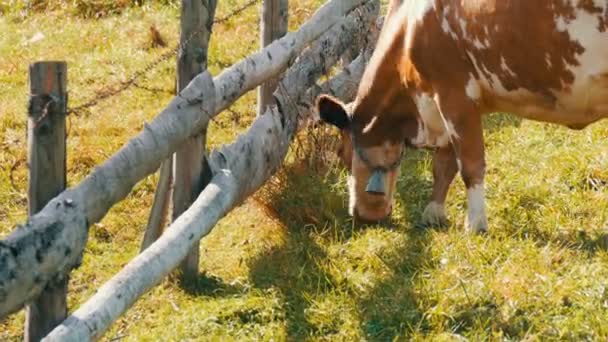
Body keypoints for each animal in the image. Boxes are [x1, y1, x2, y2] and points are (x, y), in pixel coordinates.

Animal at [318, 0, 608, 232]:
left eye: (341, 155)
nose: (358, 215)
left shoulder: (454, 94)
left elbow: (470, 165)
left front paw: (475, 224)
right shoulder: (443, 103)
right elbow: (443, 165)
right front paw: (433, 213)